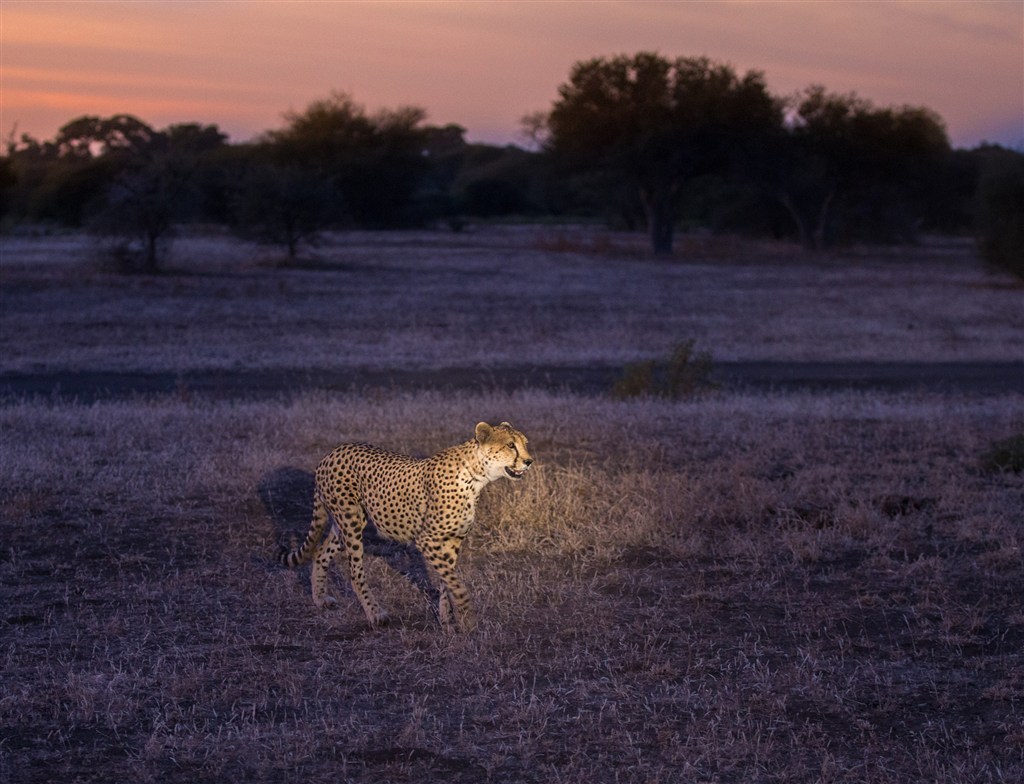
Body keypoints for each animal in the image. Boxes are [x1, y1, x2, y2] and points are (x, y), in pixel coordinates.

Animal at [280, 423, 536, 630]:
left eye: (525, 444)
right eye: (510, 445)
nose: (529, 461)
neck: (476, 475)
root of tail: (332, 452)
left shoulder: (453, 540)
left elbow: (447, 581)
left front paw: (447, 620)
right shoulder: (428, 540)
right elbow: (456, 583)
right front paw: (467, 617)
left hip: (346, 522)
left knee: (320, 552)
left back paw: (320, 599)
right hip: (350, 521)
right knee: (355, 573)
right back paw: (375, 614)